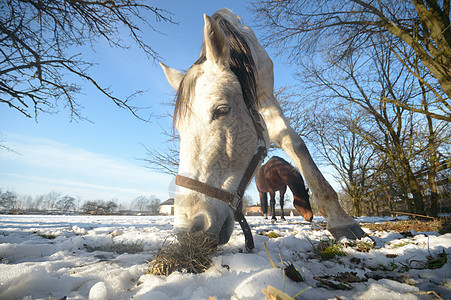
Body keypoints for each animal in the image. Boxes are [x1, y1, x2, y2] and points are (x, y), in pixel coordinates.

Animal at [161, 8, 366, 246]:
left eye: (221, 110)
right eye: (180, 130)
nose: (188, 230)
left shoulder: (267, 96)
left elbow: (295, 144)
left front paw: (341, 220)